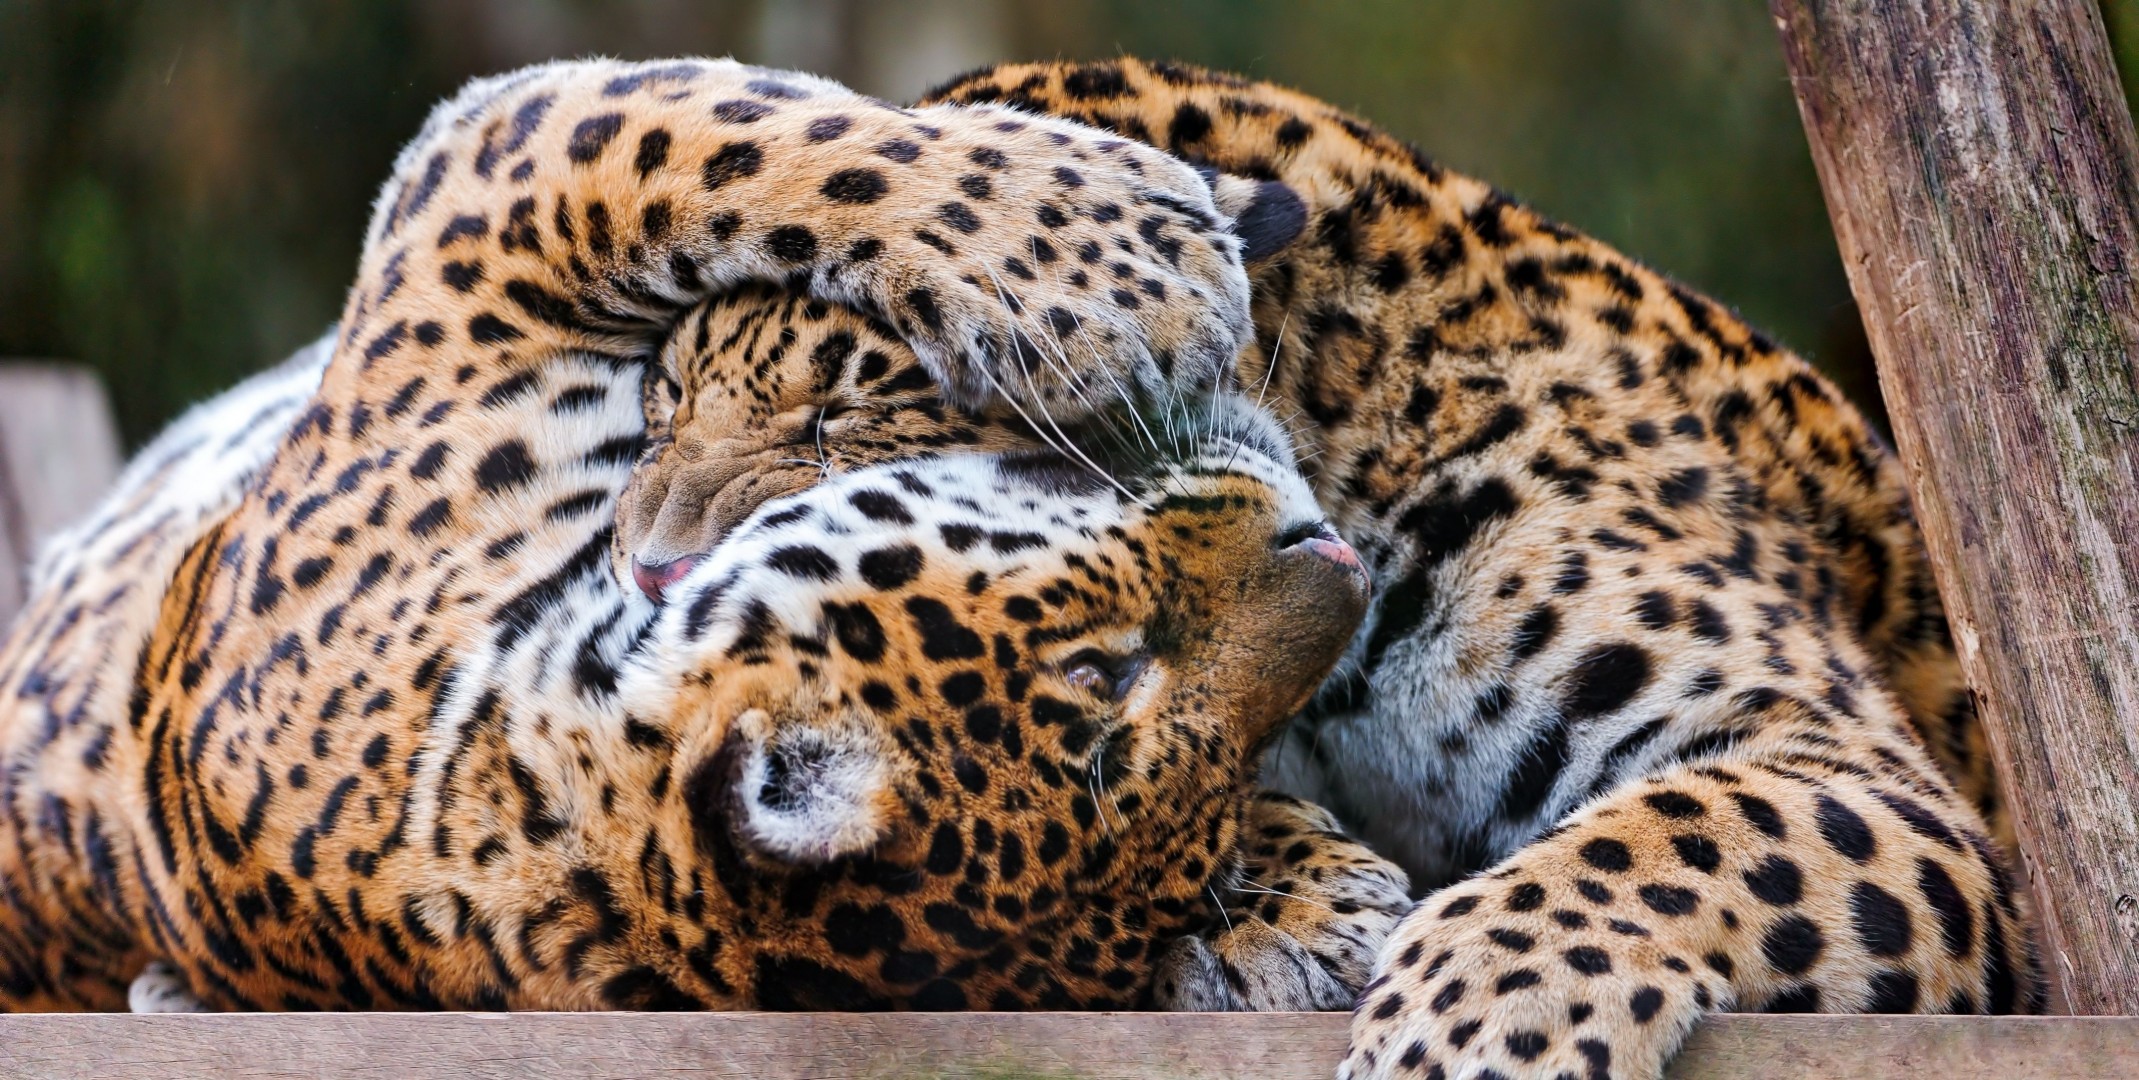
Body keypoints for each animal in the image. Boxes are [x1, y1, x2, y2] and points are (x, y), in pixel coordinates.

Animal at [0, 56, 1413, 1014]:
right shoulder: (483, 207)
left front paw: (1308, 905)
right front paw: (1109, 260)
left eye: (1224, 790)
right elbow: (744, 137)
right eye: (1106, 668)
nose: (1334, 561)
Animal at [615, 56, 2040, 1078]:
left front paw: (1476, 1024)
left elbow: (1688, 828)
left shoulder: (1850, 761)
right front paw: (1287, 904)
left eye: (848, 410)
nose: (648, 579)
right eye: (665, 404)